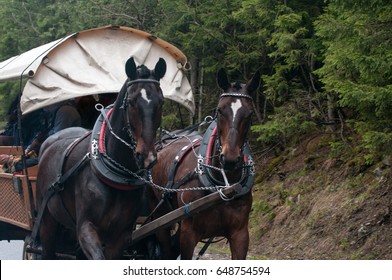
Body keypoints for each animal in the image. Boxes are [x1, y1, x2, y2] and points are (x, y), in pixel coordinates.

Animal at [34, 57, 167, 260]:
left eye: (161, 102)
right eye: (131, 101)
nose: (146, 156)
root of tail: (48, 144)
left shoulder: (121, 236)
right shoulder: (86, 228)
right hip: (47, 220)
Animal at [147, 68, 260, 260]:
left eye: (250, 113)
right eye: (220, 110)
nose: (230, 159)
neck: (223, 184)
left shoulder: (240, 234)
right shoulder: (189, 234)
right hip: (158, 215)